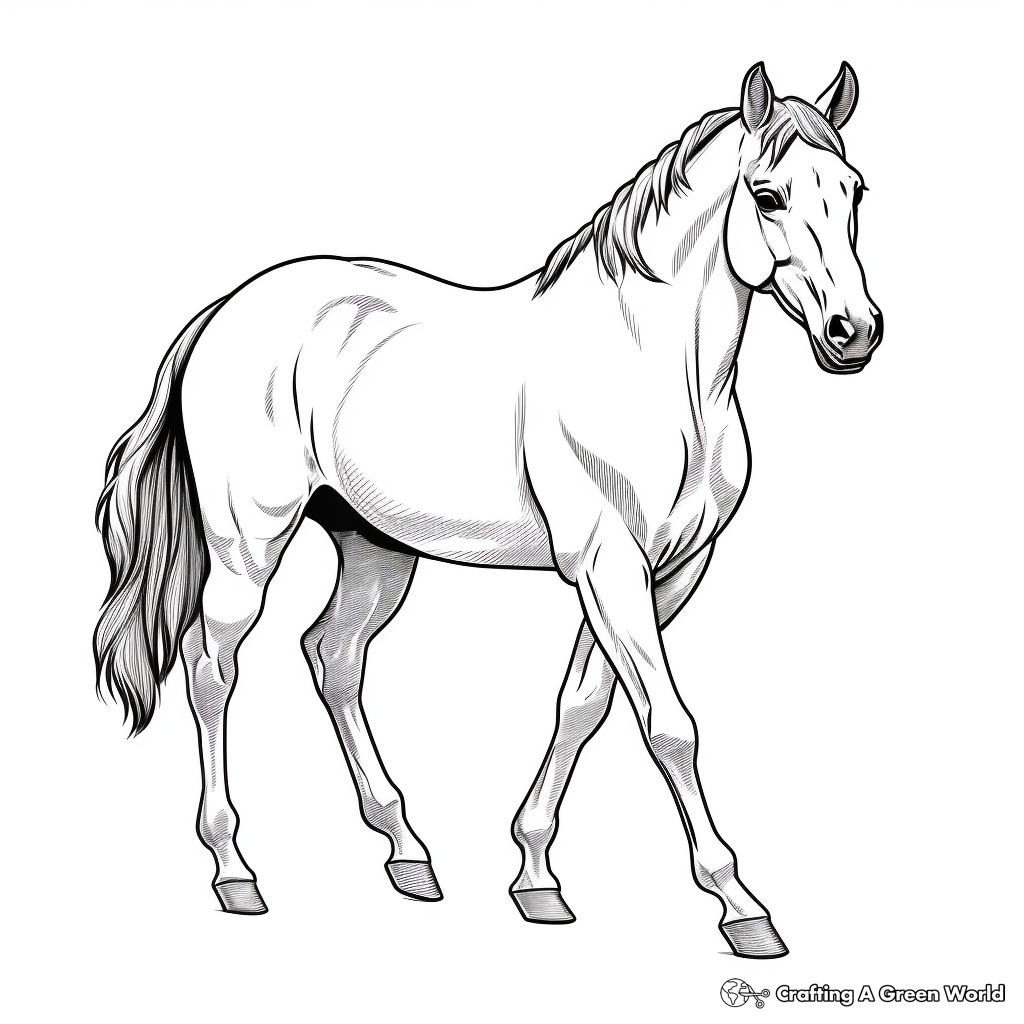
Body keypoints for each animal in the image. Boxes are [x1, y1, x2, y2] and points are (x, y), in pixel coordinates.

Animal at [94, 62, 881, 958]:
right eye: (768, 193)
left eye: (854, 191)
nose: (854, 332)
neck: (650, 366)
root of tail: (223, 311)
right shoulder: (609, 566)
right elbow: (669, 725)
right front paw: (742, 905)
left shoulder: (665, 572)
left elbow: (584, 707)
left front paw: (536, 878)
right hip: (246, 547)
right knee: (211, 667)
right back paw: (236, 871)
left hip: (374, 547)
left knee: (334, 655)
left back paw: (408, 853)